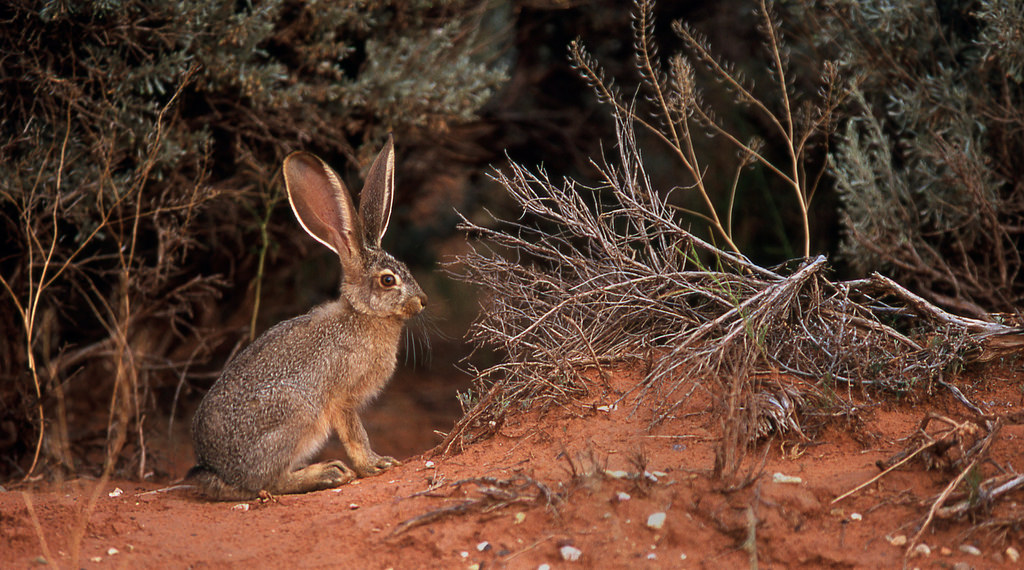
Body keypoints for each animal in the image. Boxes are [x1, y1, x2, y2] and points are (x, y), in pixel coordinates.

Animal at [188, 135, 427, 500]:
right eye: (388, 280)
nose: (422, 301)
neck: (362, 315)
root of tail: (215, 472)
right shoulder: (342, 398)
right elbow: (356, 434)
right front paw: (375, 464)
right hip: (297, 414)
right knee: (267, 482)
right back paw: (328, 474)